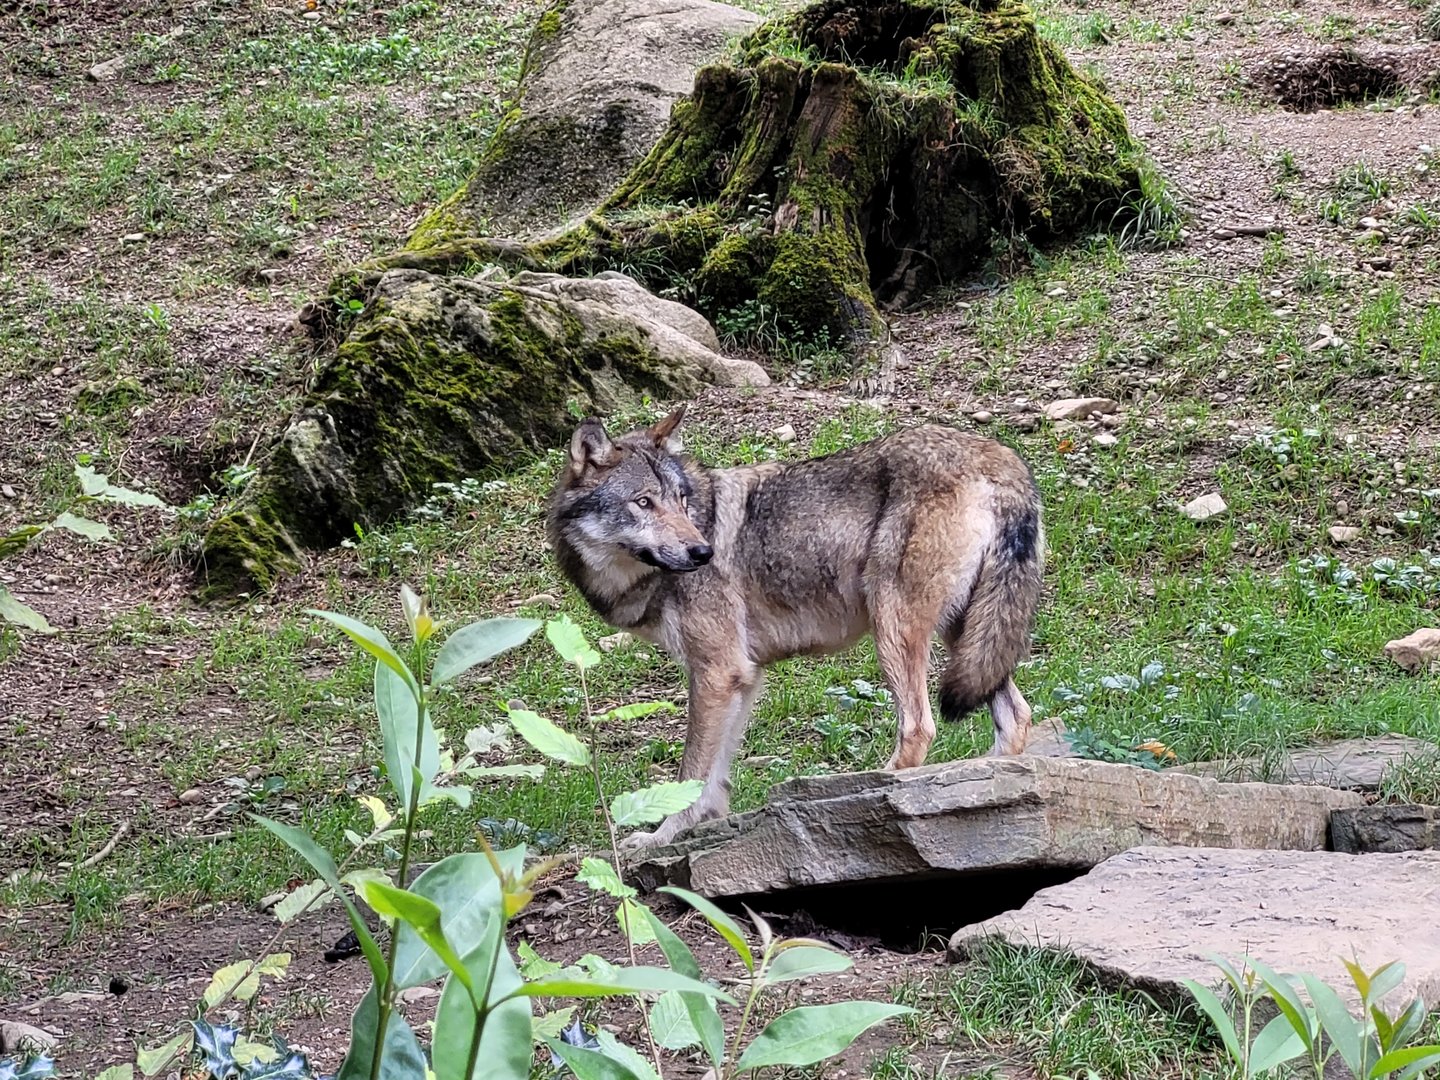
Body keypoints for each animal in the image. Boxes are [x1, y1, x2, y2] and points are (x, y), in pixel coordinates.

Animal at [546, 405, 1045, 849]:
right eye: (644, 502)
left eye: (682, 502)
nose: (703, 552)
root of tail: (1000, 456)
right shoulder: (742, 677)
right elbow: (716, 777)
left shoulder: (715, 673)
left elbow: (692, 773)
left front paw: (660, 837)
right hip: (968, 635)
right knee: (1016, 716)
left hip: (894, 627)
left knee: (920, 727)